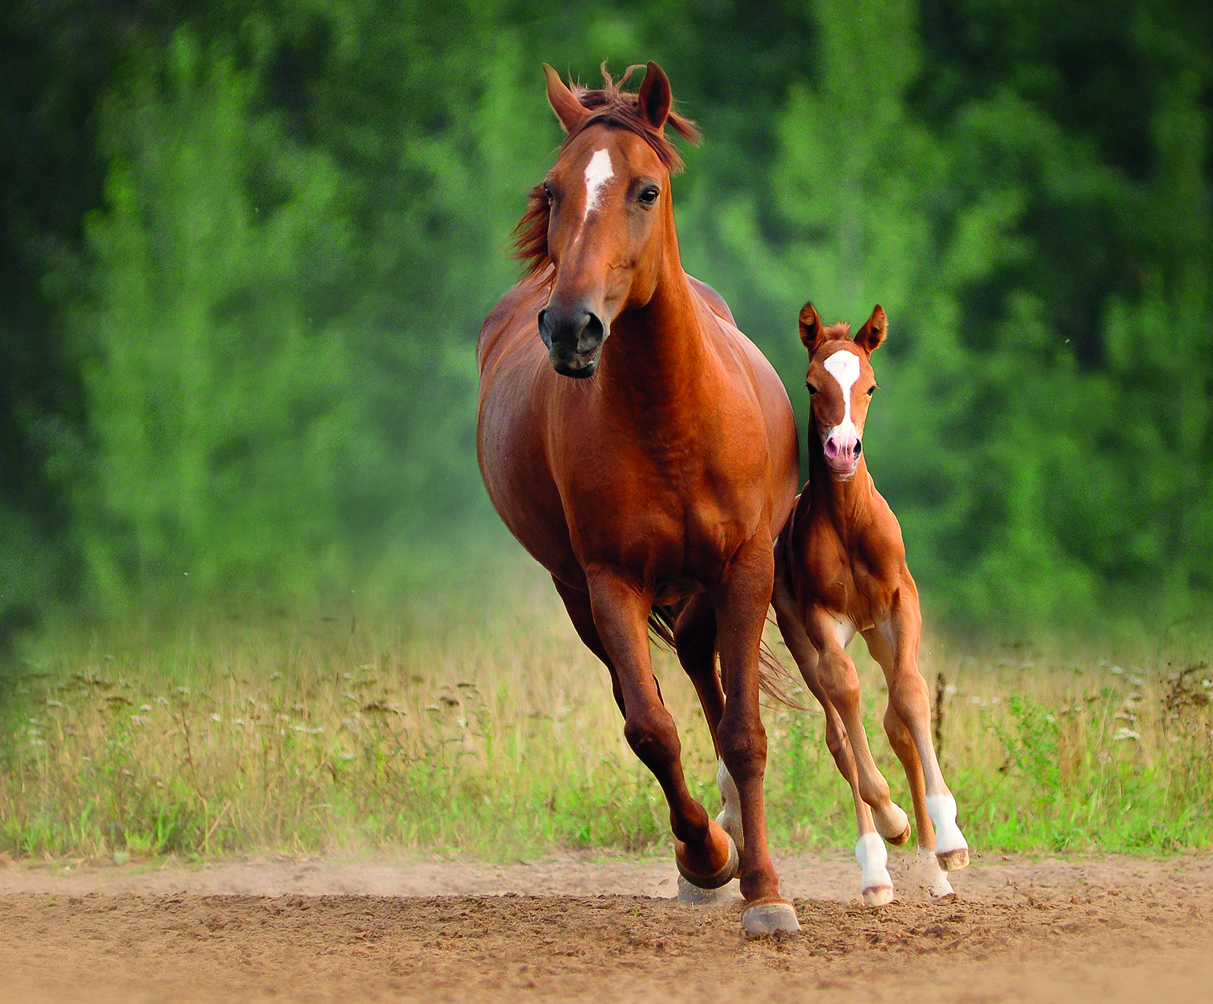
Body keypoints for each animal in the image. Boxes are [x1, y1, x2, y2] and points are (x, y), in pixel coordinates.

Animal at [475, 62, 805, 931]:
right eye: (553, 190)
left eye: (646, 190)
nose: (571, 328)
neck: (671, 417)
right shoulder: (609, 583)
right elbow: (650, 729)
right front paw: (707, 858)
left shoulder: (745, 568)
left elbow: (745, 732)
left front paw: (765, 892)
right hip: (578, 595)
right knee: (662, 689)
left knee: (704, 673)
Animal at [771, 301, 970, 906]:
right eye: (812, 385)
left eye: (872, 386)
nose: (841, 450)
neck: (848, 523)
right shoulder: (822, 620)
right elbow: (846, 696)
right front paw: (892, 822)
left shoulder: (900, 603)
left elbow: (909, 697)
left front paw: (950, 839)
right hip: (802, 639)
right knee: (839, 733)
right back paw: (877, 870)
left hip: (877, 632)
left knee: (894, 722)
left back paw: (933, 868)